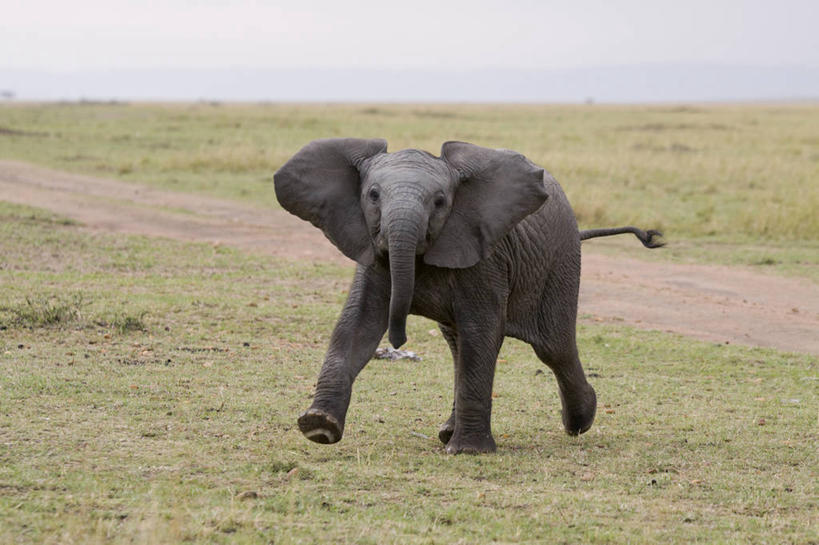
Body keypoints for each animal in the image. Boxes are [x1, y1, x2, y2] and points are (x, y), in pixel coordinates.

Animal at [272, 138, 664, 452]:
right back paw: (448, 432)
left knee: (554, 347)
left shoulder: (484, 258)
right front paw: (318, 428)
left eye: (440, 201)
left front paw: (469, 452)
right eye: (373, 195)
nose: (398, 343)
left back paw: (580, 422)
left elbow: (482, 332)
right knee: (458, 345)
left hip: (561, 263)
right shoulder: (372, 249)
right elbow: (357, 325)